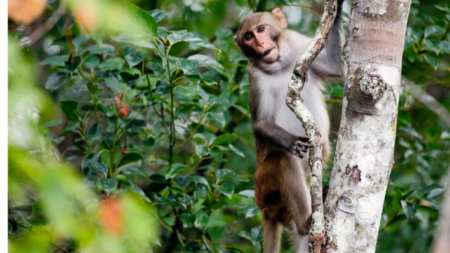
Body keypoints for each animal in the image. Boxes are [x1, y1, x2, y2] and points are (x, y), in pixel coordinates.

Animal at [234, 2, 342, 253]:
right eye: (248, 37)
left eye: (261, 29)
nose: (260, 44)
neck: (279, 66)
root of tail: (266, 212)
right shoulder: (255, 76)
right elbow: (261, 123)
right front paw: (292, 141)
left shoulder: (300, 45)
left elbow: (334, 64)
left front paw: (340, 7)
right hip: (265, 188)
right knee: (284, 160)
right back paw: (306, 223)